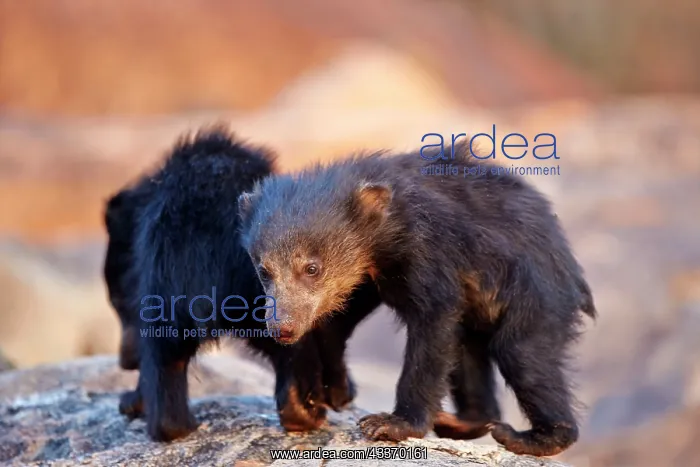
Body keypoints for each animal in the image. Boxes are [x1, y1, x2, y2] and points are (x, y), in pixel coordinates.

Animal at [236, 142, 597, 457]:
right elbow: (340, 317)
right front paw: (324, 394)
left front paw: (390, 424)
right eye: (264, 271)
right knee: (467, 348)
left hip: (534, 294)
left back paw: (531, 437)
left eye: (312, 268)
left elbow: (433, 321)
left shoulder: (431, 247)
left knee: (523, 354)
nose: (282, 328)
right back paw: (462, 422)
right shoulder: (371, 277)